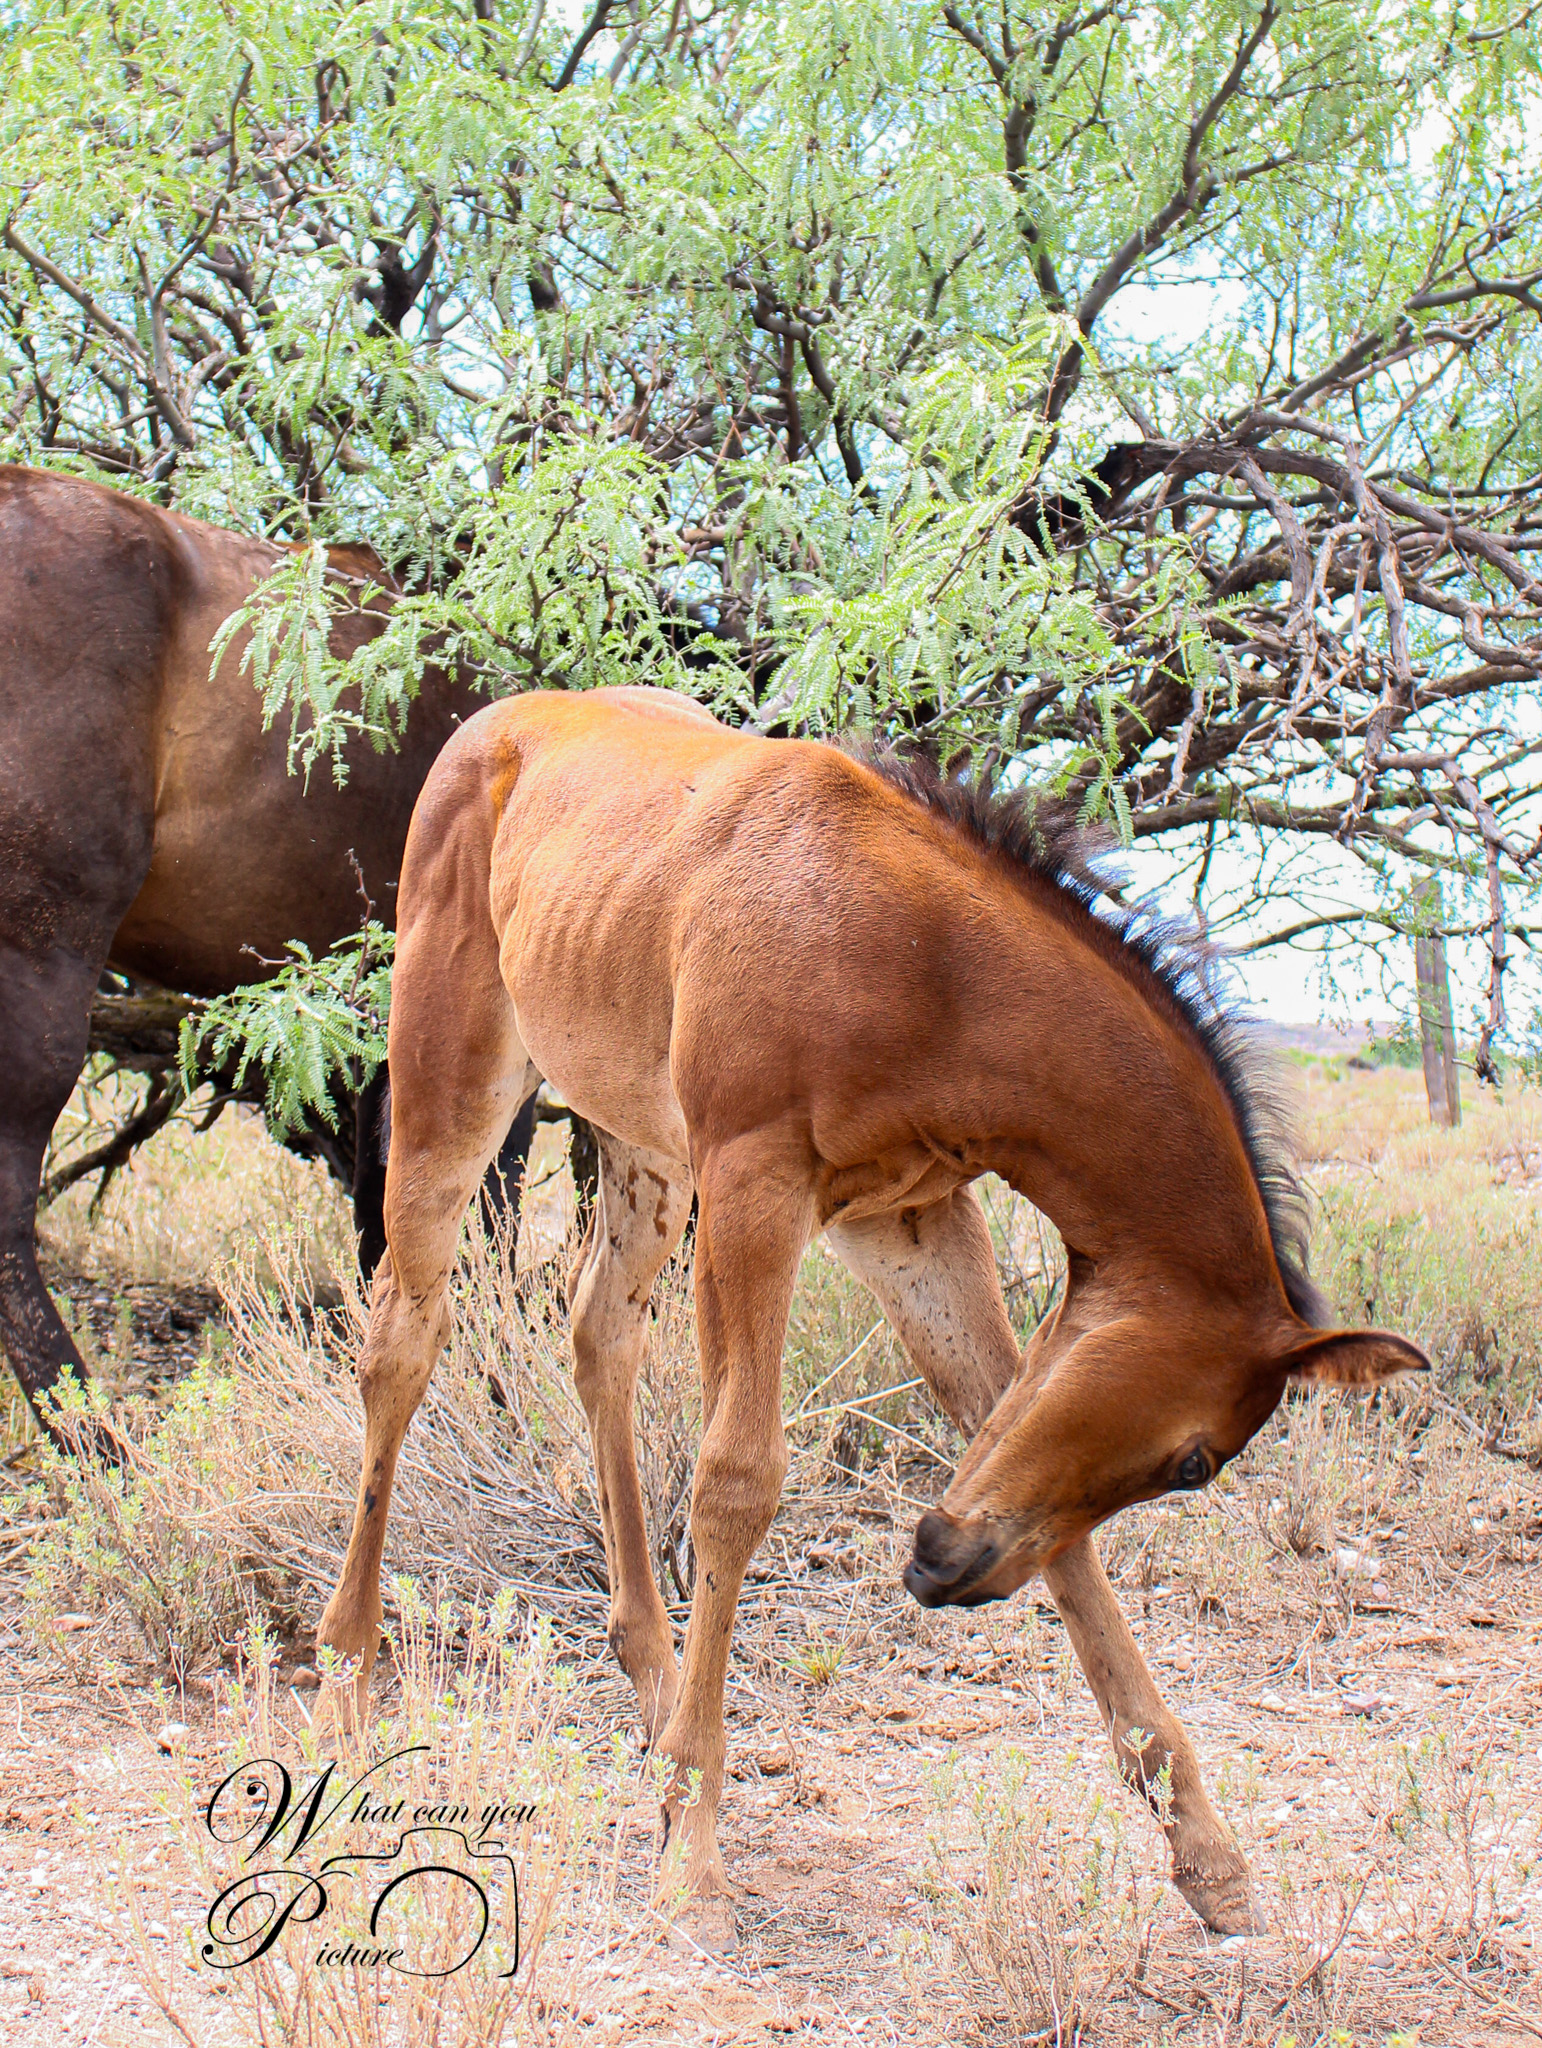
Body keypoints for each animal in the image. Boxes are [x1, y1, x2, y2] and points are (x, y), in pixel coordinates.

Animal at [313, 684, 1428, 1946]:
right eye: (1195, 1461)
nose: (945, 1566)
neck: (935, 965)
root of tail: (498, 719)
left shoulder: (912, 1219)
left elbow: (1032, 1484)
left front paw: (1208, 1852)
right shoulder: (754, 1180)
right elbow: (737, 1479)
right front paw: (691, 1851)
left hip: (642, 1139)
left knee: (600, 1334)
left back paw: (653, 1682)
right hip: (454, 1076)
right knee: (401, 1339)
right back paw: (346, 1679)